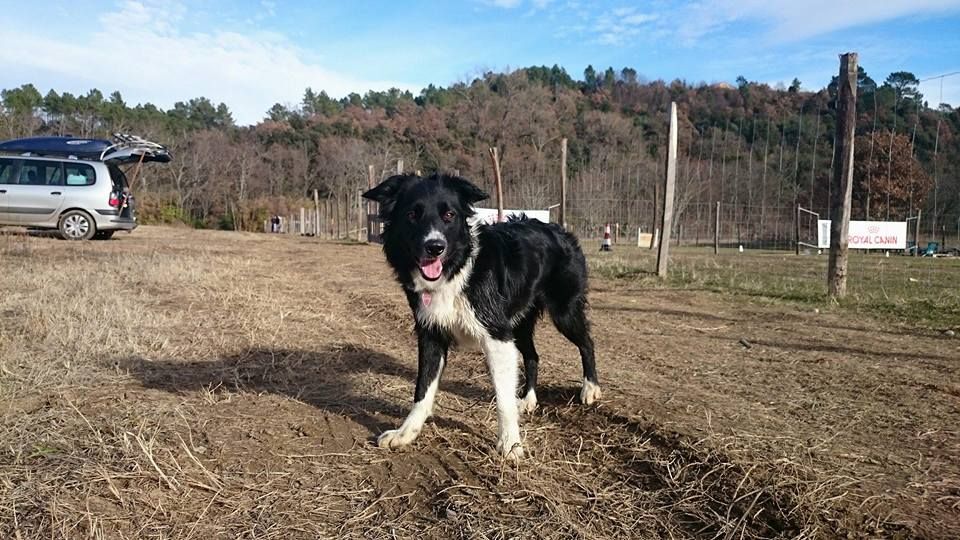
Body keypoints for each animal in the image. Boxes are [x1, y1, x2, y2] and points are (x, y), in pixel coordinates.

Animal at [362, 174, 600, 460]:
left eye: (449, 215)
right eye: (412, 214)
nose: (435, 247)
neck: (457, 269)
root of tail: (558, 228)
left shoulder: (497, 335)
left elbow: (503, 398)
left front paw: (510, 444)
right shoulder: (431, 334)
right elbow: (423, 388)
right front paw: (405, 433)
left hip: (564, 311)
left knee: (587, 343)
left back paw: (590, 388)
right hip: (519, 323)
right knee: (533, 356)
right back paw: (528, 400)